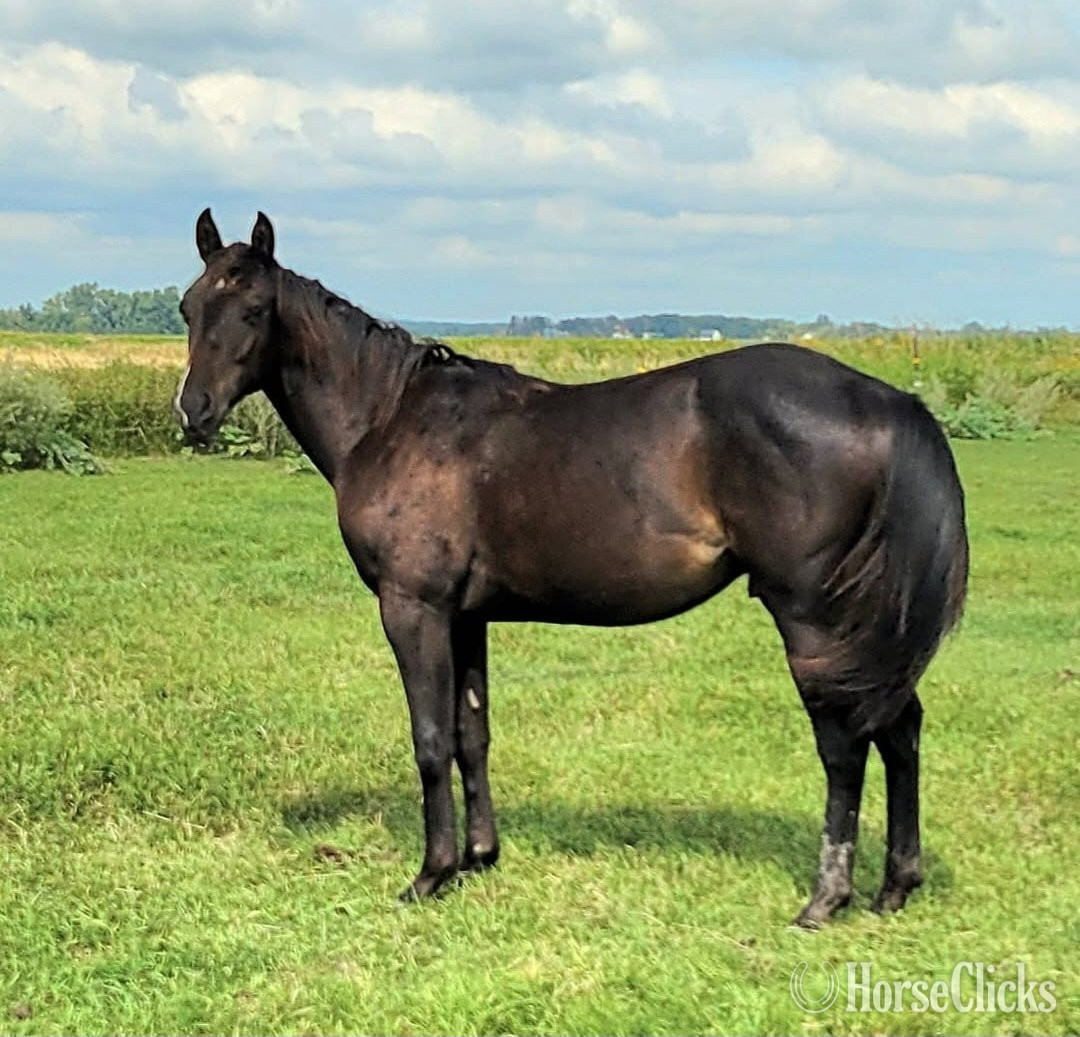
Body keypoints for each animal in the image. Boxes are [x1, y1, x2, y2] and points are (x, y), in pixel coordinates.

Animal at [175, 210, 968, 927]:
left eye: (253, 308)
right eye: (188, 306)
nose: (193, 412)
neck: (392, 419)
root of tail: (888, 399)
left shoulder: (414, 608)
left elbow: (430, 739)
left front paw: (431, 874)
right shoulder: (466, 616)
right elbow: (472, 733)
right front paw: (479, 858)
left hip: (814, 618)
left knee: (845, 742)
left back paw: (826, 897)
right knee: (900, 726)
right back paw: (895, 886)